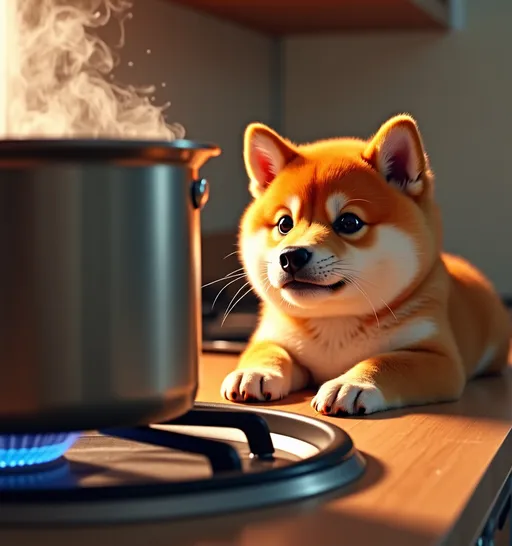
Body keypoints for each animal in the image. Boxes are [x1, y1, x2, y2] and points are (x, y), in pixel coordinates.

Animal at [219, 112, 508, 414]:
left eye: (349, 222)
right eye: (284, 224)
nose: (291, 256)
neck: (335, 323)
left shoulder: (437, 357)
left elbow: (386, 362)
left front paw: (351, 383)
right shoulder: (272, 336)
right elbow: (267, 351)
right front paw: (255, 371)